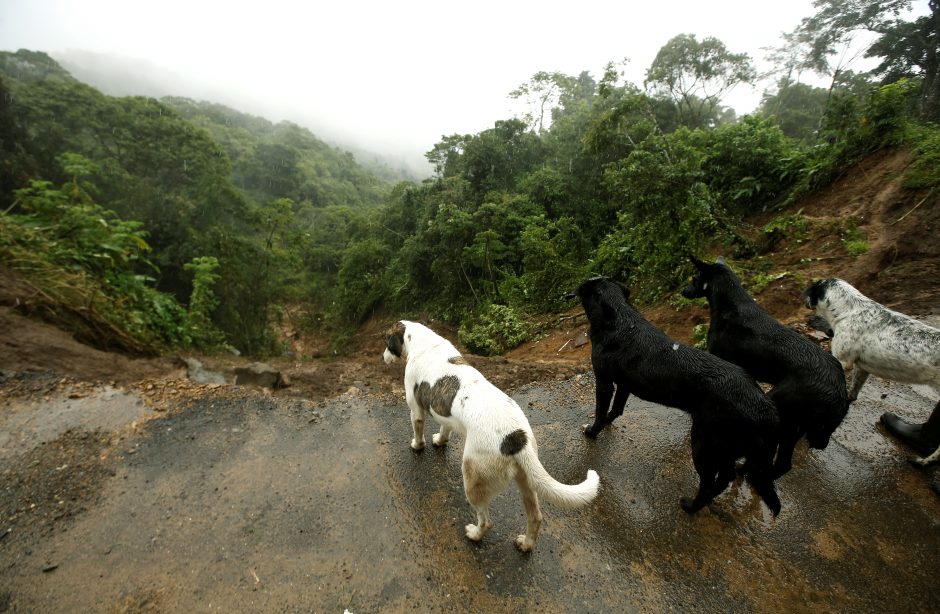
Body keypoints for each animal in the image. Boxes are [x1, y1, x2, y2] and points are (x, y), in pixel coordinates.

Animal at [384, 322, 600, 552]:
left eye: (386, 342)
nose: (383, 357)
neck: (424, 342)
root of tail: (515, 438)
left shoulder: (415, 409)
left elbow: (418, 431)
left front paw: (417, 445)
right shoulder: (444, 414)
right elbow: (445, 429)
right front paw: (440, 441)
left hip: (473, 479)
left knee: (486, 521)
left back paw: (475, 534)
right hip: (526, 481)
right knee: (536, 517)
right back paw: (526, 544)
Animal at [568, 276, 784, 516]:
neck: (619, 319)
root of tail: (765, 407)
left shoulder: (604, 382)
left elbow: (600, 411)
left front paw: (592, 431)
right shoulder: (624, 385)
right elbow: (616, 410)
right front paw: (607, 422)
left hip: (704, 442)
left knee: (710, 480)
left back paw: (691, 506)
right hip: (725, 448)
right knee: (725, 477)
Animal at [680, 258, 848, 478]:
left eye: (694, 278)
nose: (683, 291)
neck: (730, 303)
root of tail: (839, 394)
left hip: (782, 410)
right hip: (795, 424)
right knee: (783, 463)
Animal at [800, 278, 940, 462]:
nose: (801, 295)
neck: (850, 310)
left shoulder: (841, 361)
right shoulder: (861, 367)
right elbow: (852, 393)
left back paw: (923, 461)